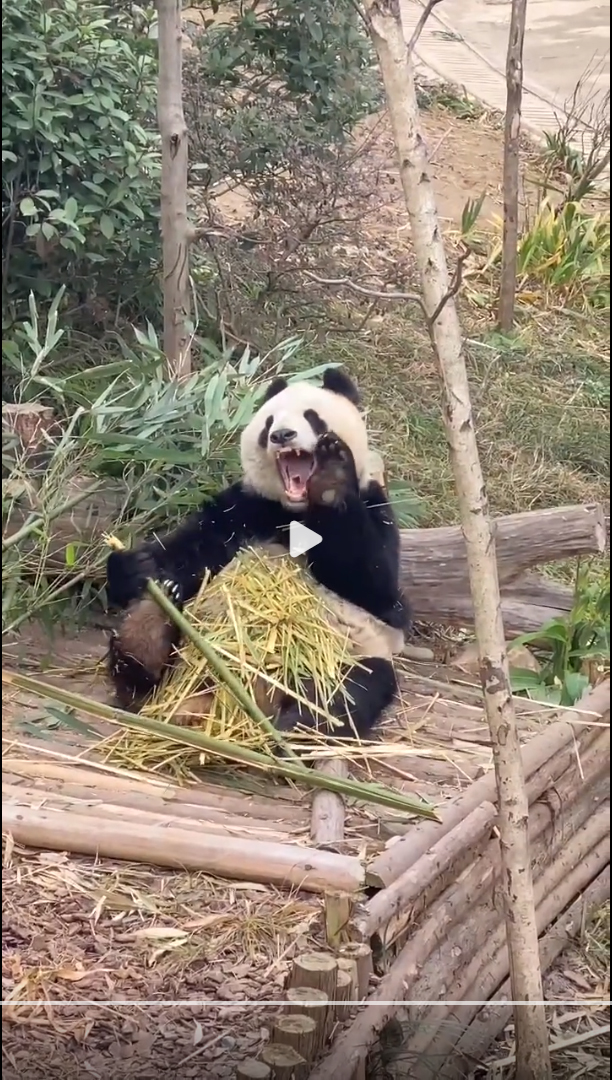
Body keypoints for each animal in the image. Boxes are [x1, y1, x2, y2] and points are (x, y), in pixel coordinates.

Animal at [105, 367, 411, 744]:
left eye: (313, 417)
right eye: (269, 422)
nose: (282, 435)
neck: (294, 511)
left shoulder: (374, 505)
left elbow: (380, 592)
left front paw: (331, 475)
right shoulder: (247, 508)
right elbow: (193, 547)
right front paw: (135, 567)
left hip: (350, 654)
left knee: (345, 694)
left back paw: (292, 728)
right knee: (146, 666)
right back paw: (145, 635)